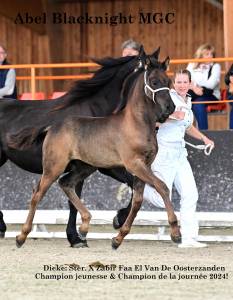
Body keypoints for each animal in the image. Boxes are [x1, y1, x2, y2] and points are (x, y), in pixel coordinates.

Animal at [16, 55, 180, 248]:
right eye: (154, 82)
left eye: (168, 82)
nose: (170, 108)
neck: (136, 123)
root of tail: (52, 126)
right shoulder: (134, 164)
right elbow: (162, 187)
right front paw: (176, 233)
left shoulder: (144, 165)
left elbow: (138, 201)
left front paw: (118, 239)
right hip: (54, 167)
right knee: (37, 194)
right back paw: (21, 236)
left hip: (85, 167)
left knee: (66, 183)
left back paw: (84, 227)